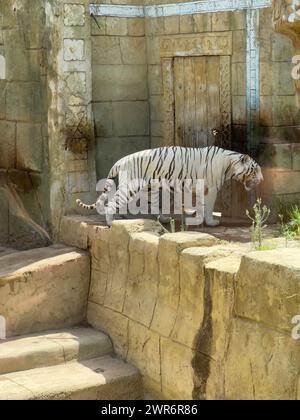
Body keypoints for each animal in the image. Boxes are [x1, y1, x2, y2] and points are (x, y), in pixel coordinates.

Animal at [77, 147, 262, 226]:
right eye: (255, 169)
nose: (262, 179)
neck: (229, 164)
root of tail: (121, 160)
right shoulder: (210, 189)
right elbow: (208, 207)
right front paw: (211, 222)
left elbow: (199, 205)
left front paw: (195, 216)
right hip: (131, 185)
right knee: (114, 202)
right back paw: (111, 222)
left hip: (149, 188)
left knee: (148, 204)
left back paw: (162, 218)